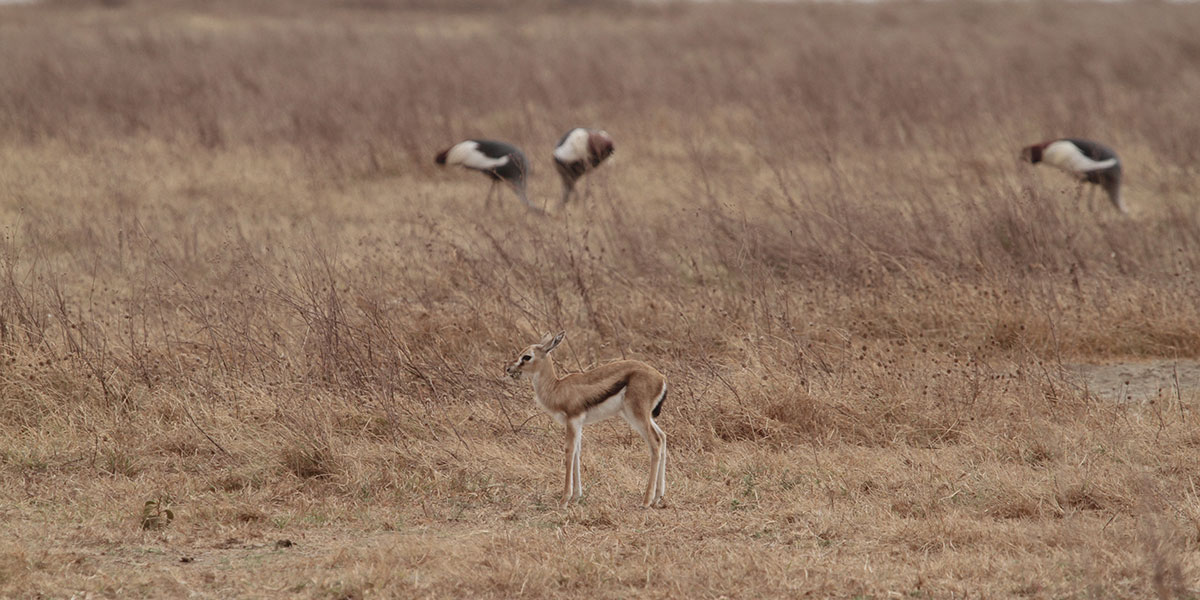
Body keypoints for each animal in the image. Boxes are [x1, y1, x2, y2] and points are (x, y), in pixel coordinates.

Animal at [506, 331, 668, 508]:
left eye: (527, 356)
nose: (509, 368)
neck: (557, 388)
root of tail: (661, 378)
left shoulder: (573, 420)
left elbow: (569, 451)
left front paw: (564, 500)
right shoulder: (577, 424)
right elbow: (577, 451)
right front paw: (576, 497)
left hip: (637, 415)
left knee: (655, 442)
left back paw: (646, 501)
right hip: (641, 416)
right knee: (662, 437)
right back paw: (658, 497)